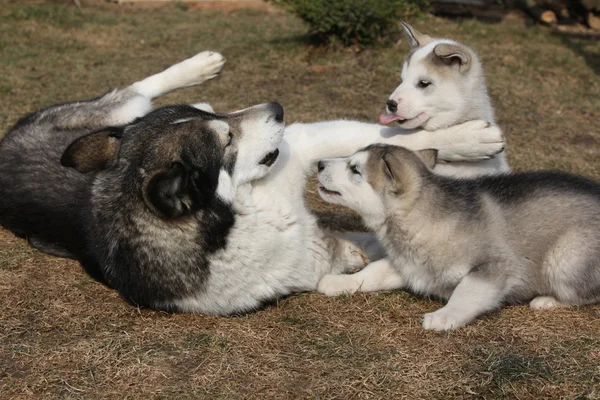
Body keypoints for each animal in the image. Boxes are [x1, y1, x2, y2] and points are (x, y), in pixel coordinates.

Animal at [0, 36, 506, 316]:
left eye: (218, 121)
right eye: (226, 139)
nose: (278, 107)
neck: (246, 209)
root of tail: (5, 146)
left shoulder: (301, 143)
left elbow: (388, 136)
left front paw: (466, 138)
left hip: (120, 113)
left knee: (139, 87)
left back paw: (199, 66)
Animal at [316, 144, 596, 332]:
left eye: (355, 170)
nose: (319, 163)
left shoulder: (495, 267)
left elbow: (466, 291)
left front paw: (444, 316)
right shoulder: (412, 266)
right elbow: (373, 272)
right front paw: (340, 282)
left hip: (564, 257)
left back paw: (547, 300)